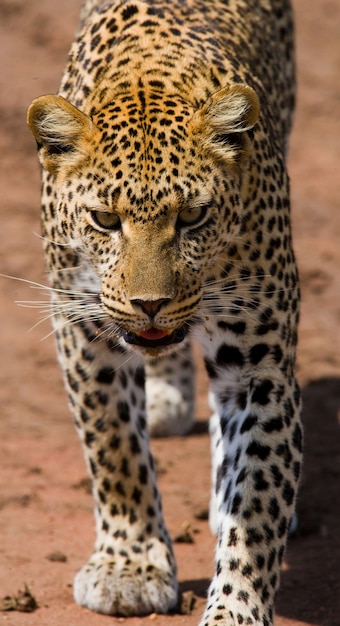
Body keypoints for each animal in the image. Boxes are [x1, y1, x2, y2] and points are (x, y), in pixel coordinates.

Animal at [27, 2, 302, 620]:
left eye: (193, 216)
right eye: (105, 220)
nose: (149, 305)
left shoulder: (261, 364)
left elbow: (256, 498)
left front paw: (235, 609)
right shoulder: (83, 328)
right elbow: (113, 444)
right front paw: (129, 567)